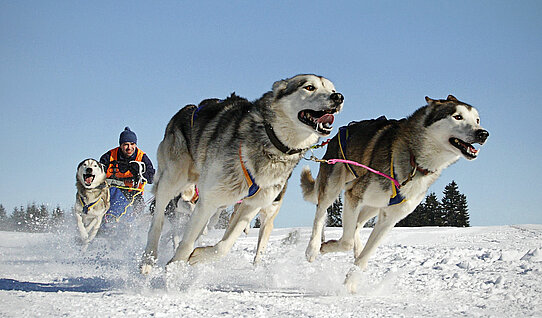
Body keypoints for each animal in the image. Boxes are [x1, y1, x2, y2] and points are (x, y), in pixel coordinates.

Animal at [140, 74, 344, 274]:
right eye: (309, 87)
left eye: (332, 89)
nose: (338, 97)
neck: (271, 141)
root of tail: (189, 108)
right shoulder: (209, 200)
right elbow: (187, 242)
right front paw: (173, 269)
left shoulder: (250, 206)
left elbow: (224, 245)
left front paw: (198, 256)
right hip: (173, 180)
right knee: (158, 220)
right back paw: (148, 260)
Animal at [302, 95, 492, 294]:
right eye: (457, 117)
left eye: (477, 120)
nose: (483, 133)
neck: (415, 161)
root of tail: (339, 132)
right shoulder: (354, 194)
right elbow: (345, 241)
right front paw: (326, 248)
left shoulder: (390, 217)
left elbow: (364, 253)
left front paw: (351, 282)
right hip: (334, 185)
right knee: (321, 212)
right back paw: (313, 248)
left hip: (372, 206)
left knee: (357, 226)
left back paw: (357, 248)